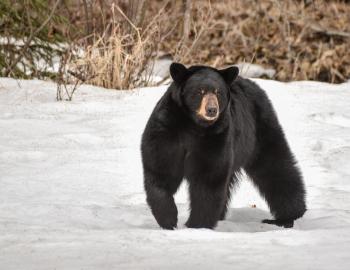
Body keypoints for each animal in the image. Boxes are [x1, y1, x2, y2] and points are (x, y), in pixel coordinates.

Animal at [141, 63, 304, 230]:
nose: (212, 109)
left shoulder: (216, 137)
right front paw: (169, 219)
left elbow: (208, 177)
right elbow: (161, 170)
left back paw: (287, 216)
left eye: (218, 92)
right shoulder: (167, 131)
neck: (193, 125)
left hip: (258, 131)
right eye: (200, 91)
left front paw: (197, 224)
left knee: (275, 167)